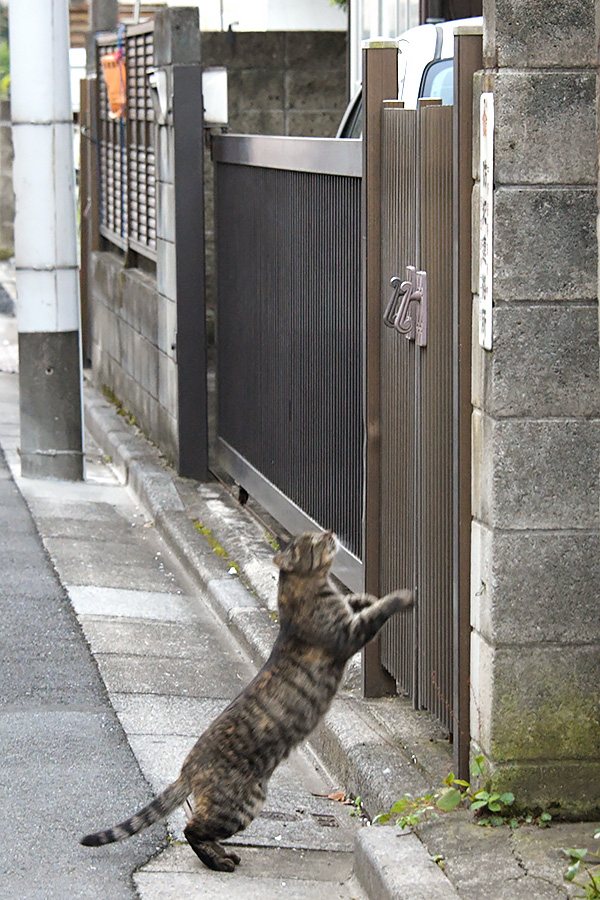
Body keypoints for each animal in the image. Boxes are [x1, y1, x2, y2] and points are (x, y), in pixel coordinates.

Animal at [81, 532, 412, 868]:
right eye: (314, 542)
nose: (330, 534)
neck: (308, 589)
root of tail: (187, 769)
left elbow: (360, 602)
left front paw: (366, 597)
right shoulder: (347, 636)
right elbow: (377, 612)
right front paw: (402, 596)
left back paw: (224, 854)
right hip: (241, 805)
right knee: (192, 829)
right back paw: (219, 862)